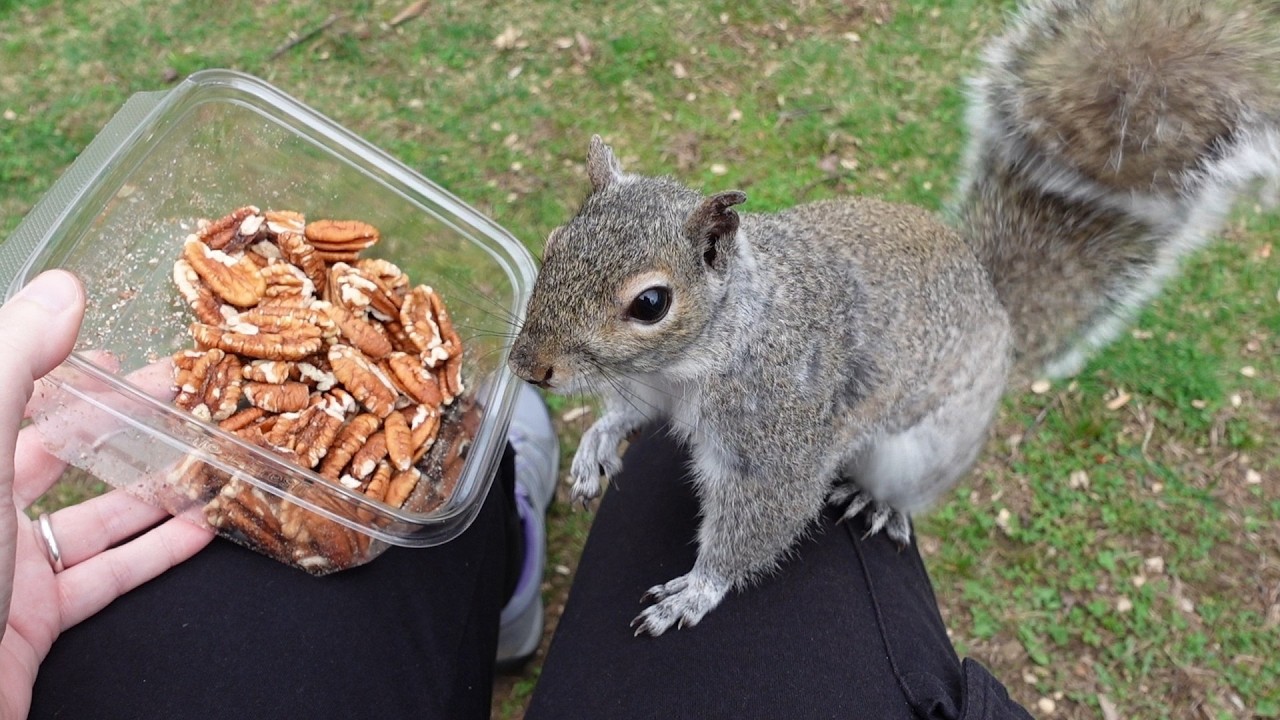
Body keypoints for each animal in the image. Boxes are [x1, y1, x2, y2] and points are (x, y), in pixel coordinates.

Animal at [508, 0, 1280, 636]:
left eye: (651, 304)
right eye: (553, 242)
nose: (527, 366)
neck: (700, 354)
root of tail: (995, 305)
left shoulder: (779, 435)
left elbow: (761, 519)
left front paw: (697, 591)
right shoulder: (650, 386)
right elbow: (626, 411)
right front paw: (594, 446)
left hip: (924, 448)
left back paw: (876, 504)